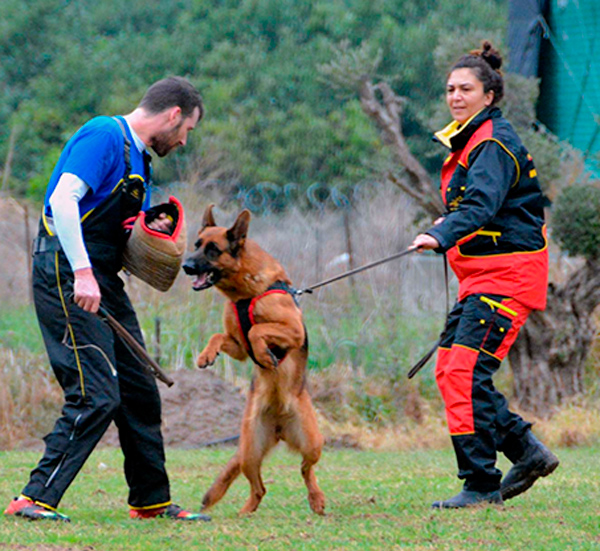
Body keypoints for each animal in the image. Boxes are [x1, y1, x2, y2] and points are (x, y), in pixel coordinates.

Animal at [183, 204, 326, 516]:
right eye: (197, 245)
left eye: (213, 249)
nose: (186, 266)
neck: (246, 292)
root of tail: (279, 425)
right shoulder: (237, 346)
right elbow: (220, 336)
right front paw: (205, 355)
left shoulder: (293, 330)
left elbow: (258, 329)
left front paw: (264, 354)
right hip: (250, 449)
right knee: (259, 487)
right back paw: (245, 512)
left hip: (313, 443)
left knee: (306, 469)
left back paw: (316, 498)